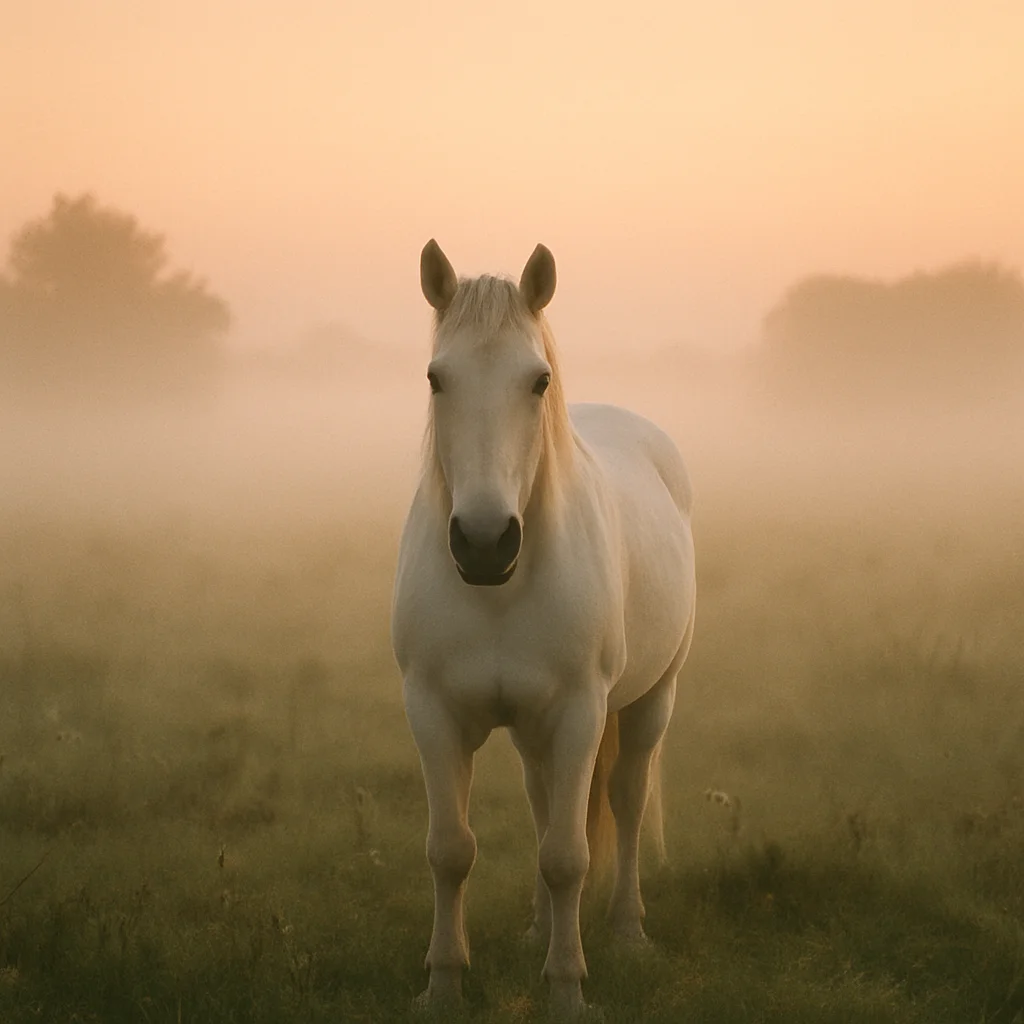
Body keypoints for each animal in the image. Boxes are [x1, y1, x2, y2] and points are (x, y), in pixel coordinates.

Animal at [391, 240, 696, 1017]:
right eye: (436, 378)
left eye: (538, 381)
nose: (483, 542)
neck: (500, 591)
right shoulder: (433, 713)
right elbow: (451, 849)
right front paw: (443, 985)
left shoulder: (580, 713)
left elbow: (567, 856)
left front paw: (566, 990)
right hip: (534, 733)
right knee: (541, 803)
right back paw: (536, 928)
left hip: (649, 701)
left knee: (625, 798)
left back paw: (626, 930)